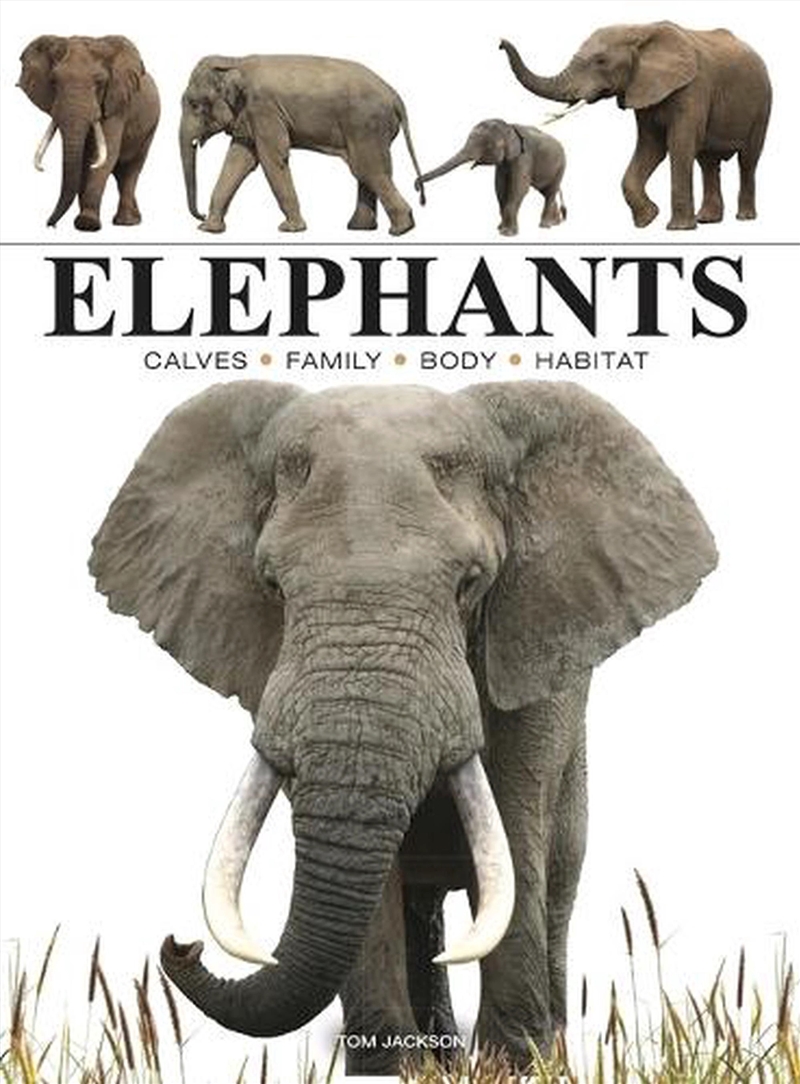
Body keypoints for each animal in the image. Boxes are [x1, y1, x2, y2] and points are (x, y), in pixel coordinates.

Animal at [17, 35, 160, 230]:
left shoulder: (116, 104)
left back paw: (126, 222)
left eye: (100, 83)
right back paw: (135, 217)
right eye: (53, 81)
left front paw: (87, 224)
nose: (50, 224)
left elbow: (105, 156)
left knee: (131, 169)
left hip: (150, 130)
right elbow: (85, 160)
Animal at [90, 380, 717, 1074]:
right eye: (272, 586)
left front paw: (512, 1065)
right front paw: (391, 1068)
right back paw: (440, 1053)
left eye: (471, 583)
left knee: (555, 879)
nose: (181, 944)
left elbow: (517, 826)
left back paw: (541, 1043)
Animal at [179, 55, 426, 236]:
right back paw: (361, 229)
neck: (234, 60)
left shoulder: (264, 110)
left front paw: (290, 230)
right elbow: (239, 160)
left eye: (194, 105)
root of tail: (395, 96)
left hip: (365, 125)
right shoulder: (249, 116)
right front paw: (208, 229)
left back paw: (400, 230)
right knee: (368, 172)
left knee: (368, 170)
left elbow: (272, 159)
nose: (200, 215)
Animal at [416, 118, 566, 235]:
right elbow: (499, 188)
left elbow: (518, 189)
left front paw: (507, 234)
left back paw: (545, 226)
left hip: (561, 166)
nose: (419, 191)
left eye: (487, 145)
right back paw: (556, 223)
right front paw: (500, 228)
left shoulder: (524, 157)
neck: (509, 127)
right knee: (546, 192)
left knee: (550, 192)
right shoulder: (503, 164)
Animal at [499, 22, 771, 229]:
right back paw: (707, 220)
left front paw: (678, 229)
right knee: (708, 161)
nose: (500, 43)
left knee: (748, 159)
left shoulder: (693, 88)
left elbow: (679, 145)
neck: (641, 29)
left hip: (763, 104)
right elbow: (652, 147)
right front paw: (647, 220)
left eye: (601, 61)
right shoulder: (641, 88)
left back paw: (744, 218)